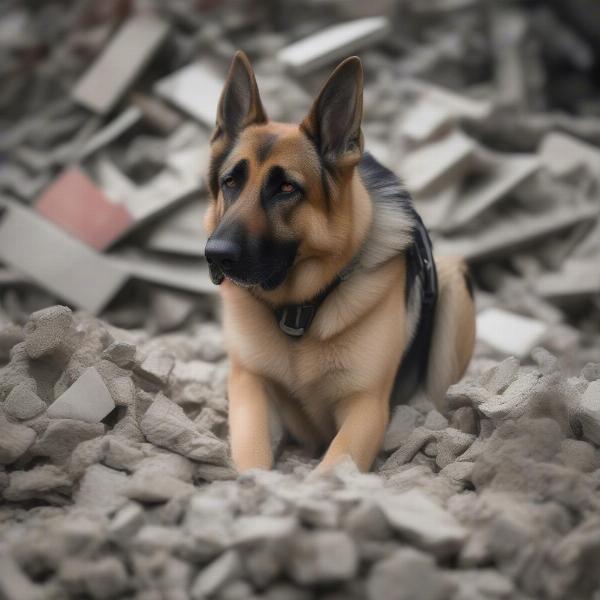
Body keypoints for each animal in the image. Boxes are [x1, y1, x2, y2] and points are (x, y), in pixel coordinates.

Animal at [204, 51, 476, 474]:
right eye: (231, 182)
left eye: (286, 188)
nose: (215, 254)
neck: (299, 313)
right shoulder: (249, 386)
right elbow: (252, 457)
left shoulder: (365, 408)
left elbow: (332, 467)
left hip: (452, 283)